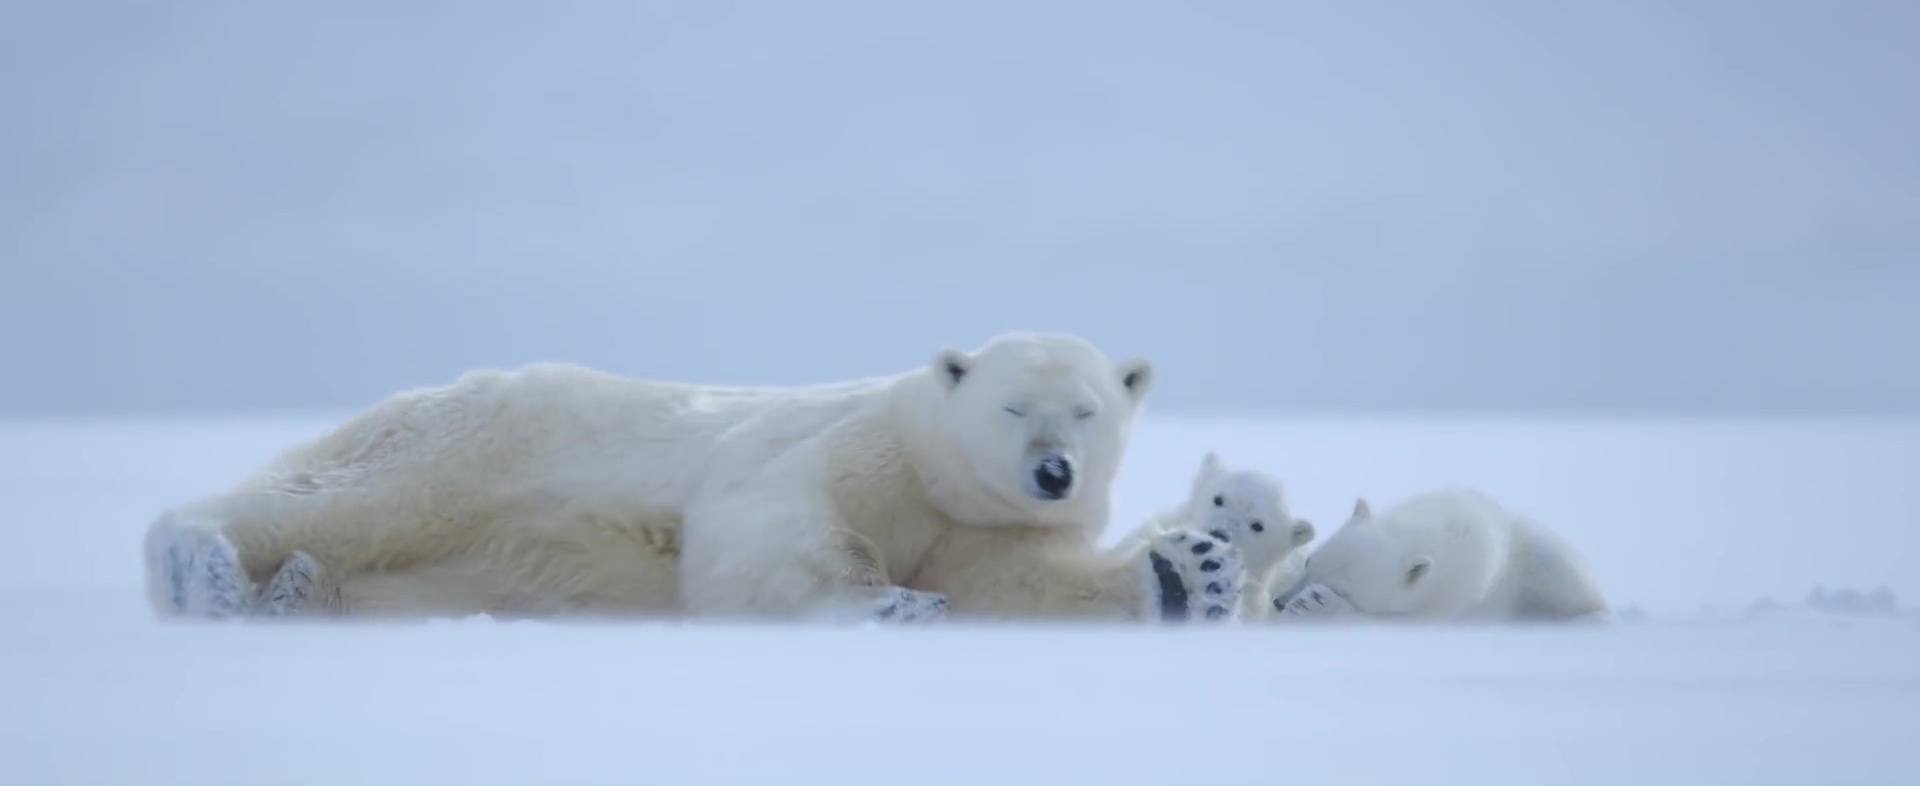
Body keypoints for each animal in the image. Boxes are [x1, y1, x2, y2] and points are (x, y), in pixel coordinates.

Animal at [144, 331, 1246, 623]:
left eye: (1088, 410)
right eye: (1016, 407)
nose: (1055, 472)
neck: (938, 471)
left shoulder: (985, 524)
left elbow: (1016, 586)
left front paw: (1194, 569)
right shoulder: (858, 446)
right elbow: (762, 532)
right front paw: (886, 604)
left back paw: (286, 594)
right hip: (478, 442)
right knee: (349, 498)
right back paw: (203, 571)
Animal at [1274, 488, 1609, 622]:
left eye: (1343, 589)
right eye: (1309, 563)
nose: (1279, 602)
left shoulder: (1452, 595)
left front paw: (1315, 605)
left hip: (1542, 556)